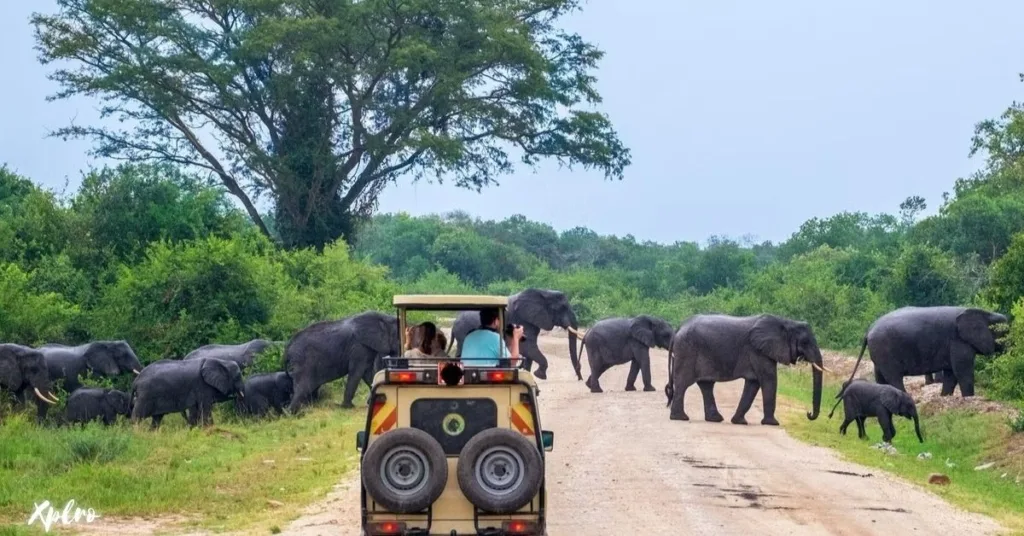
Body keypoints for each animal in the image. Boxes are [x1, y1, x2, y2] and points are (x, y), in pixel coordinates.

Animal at [448, 286, 585, 379]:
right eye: (562, 308)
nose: (579, 377)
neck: (543, 292)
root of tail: (454, 324)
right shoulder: (522, 319)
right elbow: (527, 346)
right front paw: (539, 375)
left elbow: (529, 348)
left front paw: (528, 373)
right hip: (464, 332)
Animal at [663, 315, 823, 428]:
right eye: (805, 342)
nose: (808, 413)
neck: (786, 321)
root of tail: (678, 329)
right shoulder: (758, 351)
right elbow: (769, 379)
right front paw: (773, 423)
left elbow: (753, 384)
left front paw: (739, 422)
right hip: (687, 351)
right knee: (683, 383)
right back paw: (681, 418)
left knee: (706, 385)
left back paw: (715, 419)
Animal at [847, 305, 1007, 397]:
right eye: (1003, 333)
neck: (985, 312)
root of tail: (868, 331)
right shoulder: (958, 341)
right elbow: (962, 371)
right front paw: (968, 399)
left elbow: (951, 374)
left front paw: (945, 397)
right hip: (885, 351)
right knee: (893, 377)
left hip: (878, 352)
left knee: (880, 377)